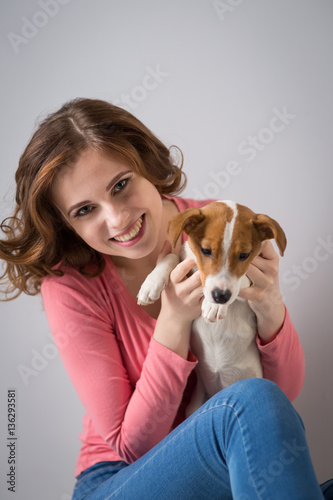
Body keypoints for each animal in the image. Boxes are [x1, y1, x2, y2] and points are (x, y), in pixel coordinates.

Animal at [137, 199, 286, 414]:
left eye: (244, 255)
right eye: (206, 251)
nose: (220, 297)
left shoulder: (252, 277)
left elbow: (239, 281)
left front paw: (213, 305)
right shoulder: (186, 257)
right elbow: (171, 258)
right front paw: (150, 284)